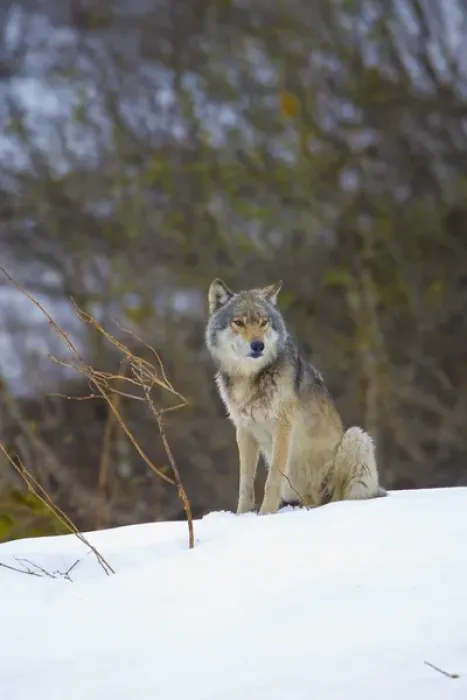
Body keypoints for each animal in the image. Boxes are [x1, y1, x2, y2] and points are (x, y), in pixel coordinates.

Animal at [205, 278, 387, 515]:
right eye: (238, 322)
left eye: (263, 322)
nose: (258, 345)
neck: (250, 379)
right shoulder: (244, 430)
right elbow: (245, 485)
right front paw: (242, 516)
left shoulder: (283, 425)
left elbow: (272, 480)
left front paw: (266, 515)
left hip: (356, 437)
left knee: (339, 498)